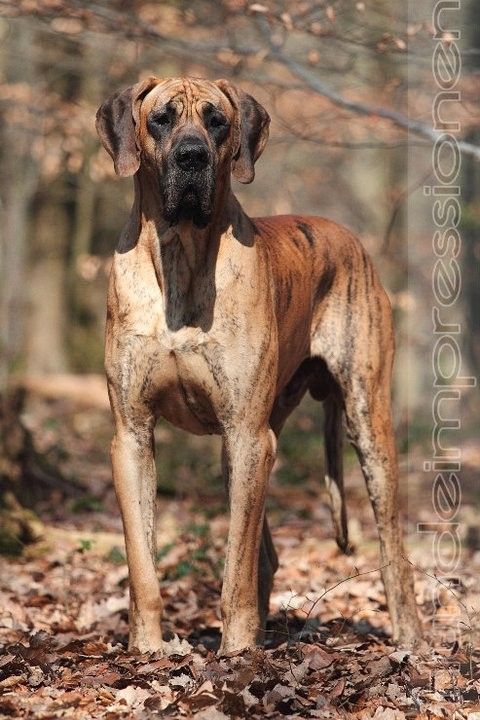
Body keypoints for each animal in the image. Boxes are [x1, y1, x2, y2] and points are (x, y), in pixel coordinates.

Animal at [96, 76, 421, 655]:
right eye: (161, 118)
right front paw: (149, 649)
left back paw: (409, 637)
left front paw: (235, 654)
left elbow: (236, 569)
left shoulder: (247, 434)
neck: (180, 255)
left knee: (391, 551)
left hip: (365, 425)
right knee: (265, 554)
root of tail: (348, 237)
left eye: (217, 120)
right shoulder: (131, 436)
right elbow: (142, 563)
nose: (193, 156)